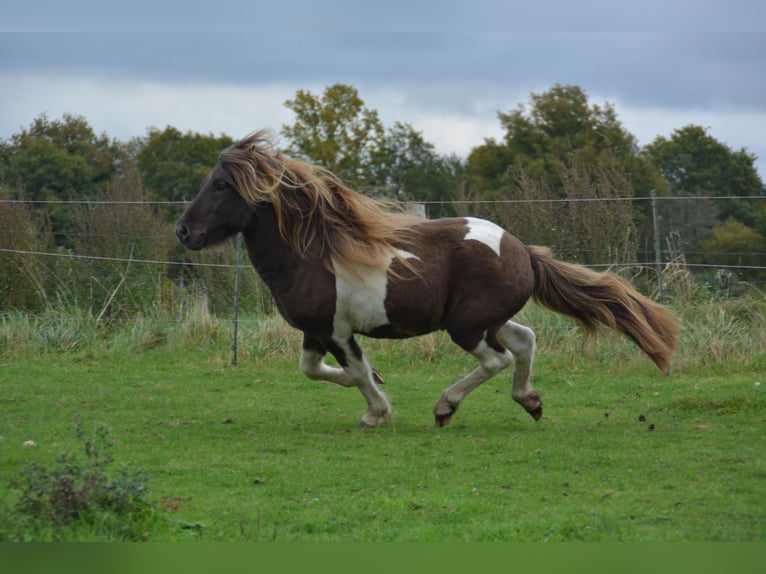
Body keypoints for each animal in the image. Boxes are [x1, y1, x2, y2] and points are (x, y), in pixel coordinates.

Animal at [176, 131, 681, 428]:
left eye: (220, 185)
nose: (185, 232)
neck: (311, 256)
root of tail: (523, 252)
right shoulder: (316, 331)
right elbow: (315, 370)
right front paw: (377, 389)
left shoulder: (336, 330)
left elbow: (353, 370)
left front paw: (376, 412)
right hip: (489, 320)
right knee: (525, 342)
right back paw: (531, 401)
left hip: (466, 326)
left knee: (496, 360)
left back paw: (445, 407)